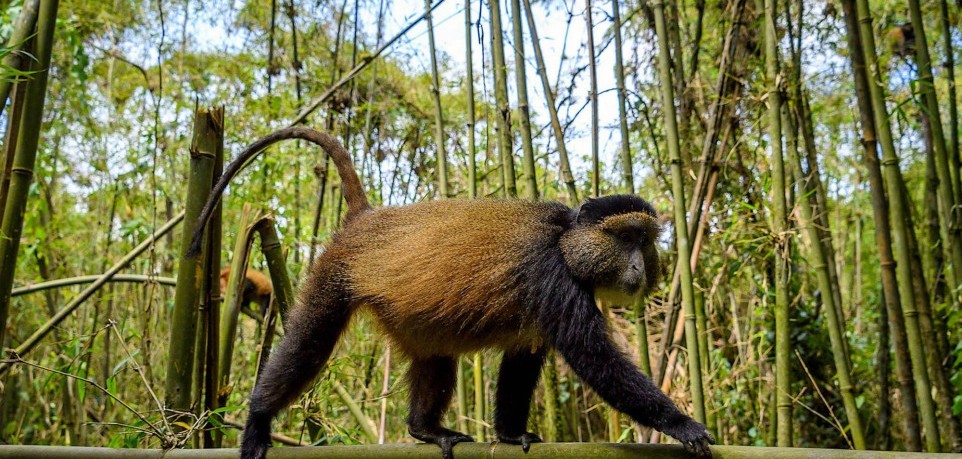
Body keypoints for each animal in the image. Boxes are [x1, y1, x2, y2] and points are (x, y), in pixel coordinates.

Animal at [187, 127, 714, 459]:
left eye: (644, 242)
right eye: (625, 237)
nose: (637, 265)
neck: (566, 242)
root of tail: (366, 219)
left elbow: (522, 360)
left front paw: (510, 433)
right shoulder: (552, 277)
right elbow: (595, 359)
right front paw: (681, 424)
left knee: (435, 358)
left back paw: (424, 428)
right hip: (334, 277)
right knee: (307, 345)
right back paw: (258, 419)